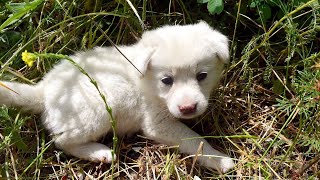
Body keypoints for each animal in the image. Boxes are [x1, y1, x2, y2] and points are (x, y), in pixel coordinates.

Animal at [0, 21, 235, 172]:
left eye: (202, 76)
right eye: (166, 80)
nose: (188, 108)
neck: (147, 81)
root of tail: (44, 91)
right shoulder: (157, 124)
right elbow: (194, 139)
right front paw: (219, 160)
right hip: (97, 112)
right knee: (62, 142)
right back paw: (100, 152)